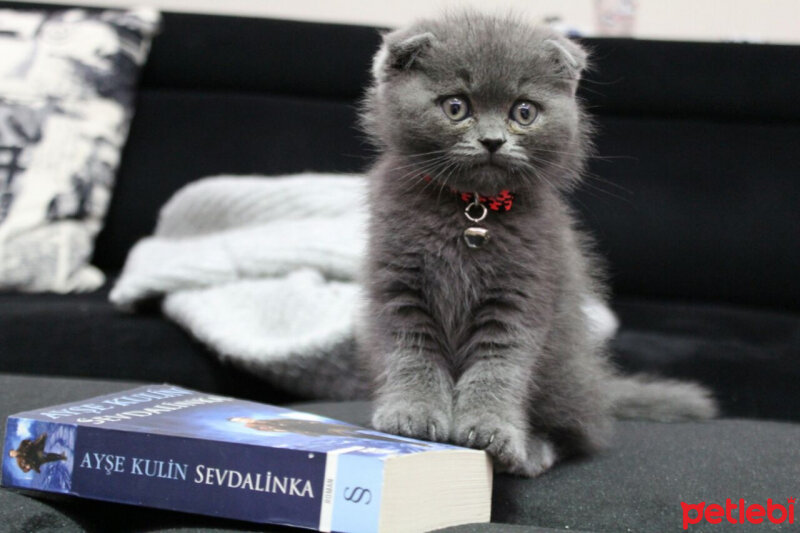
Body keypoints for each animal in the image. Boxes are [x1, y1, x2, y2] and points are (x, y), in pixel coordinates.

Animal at [356, 12, 712, 476]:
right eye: (456, 107)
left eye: (523, 112)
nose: (492, 140)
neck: (472, 210)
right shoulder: (398, 283)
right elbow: (411, 352)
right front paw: (411, 414)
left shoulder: (522, 290)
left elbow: (500, 366)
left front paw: (491, 430)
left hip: (564, 370)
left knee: (579, 431)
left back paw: (534, 451)